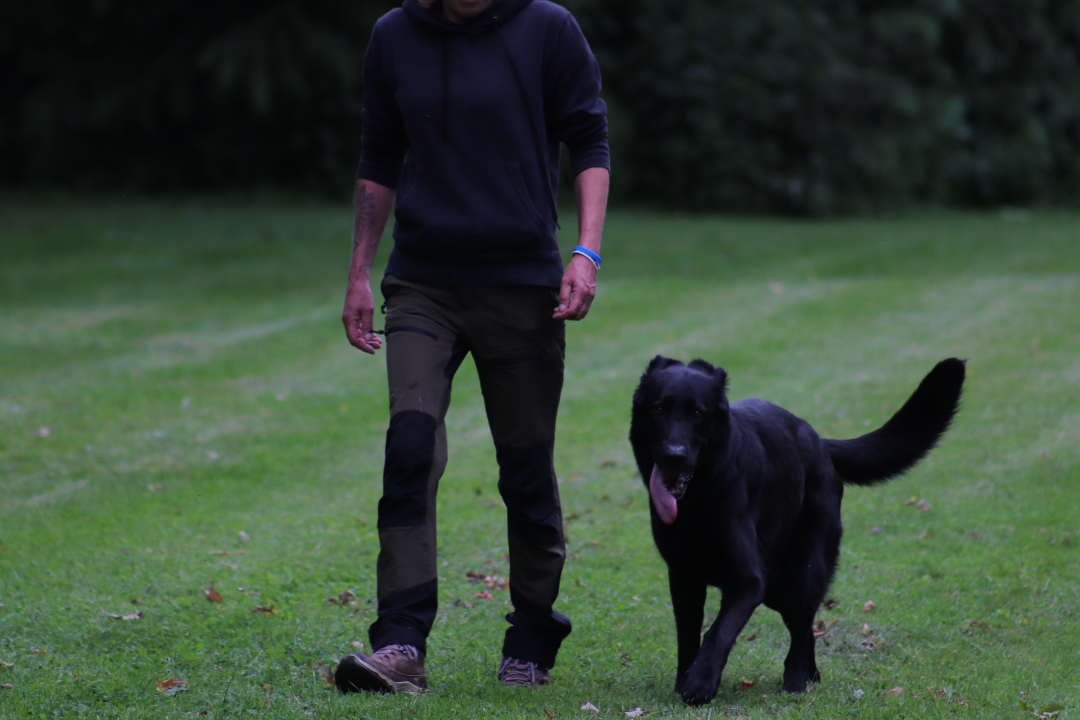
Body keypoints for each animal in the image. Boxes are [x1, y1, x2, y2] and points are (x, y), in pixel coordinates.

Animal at [629, 356, 964, 705]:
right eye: (659, 409)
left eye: (697, 413)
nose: (674, 456)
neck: (699, 500)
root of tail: (819, 441)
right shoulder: (684, 580)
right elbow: (688, 636)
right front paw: (685, 681)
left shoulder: (748, 584)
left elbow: (718, 631)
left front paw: (700, 683)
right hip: (778, 591)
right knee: (804, 631)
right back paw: (810, 675)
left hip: (800, 577)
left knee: (802, 629)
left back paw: (795, 683)